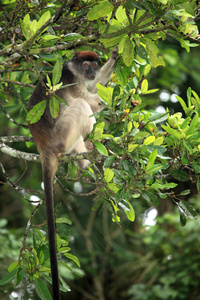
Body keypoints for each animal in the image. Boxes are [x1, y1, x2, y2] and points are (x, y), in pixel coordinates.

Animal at [28, 47, 119, 300]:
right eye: (85, 65)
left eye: (94, 64)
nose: (93, 69)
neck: (76, 72)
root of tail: (43, 147)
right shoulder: (71, 80)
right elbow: (89, 99)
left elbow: (96, 86)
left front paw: (114, 59)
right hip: (62, 134)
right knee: (81, 107)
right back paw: (90, 150)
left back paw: (85, 160)